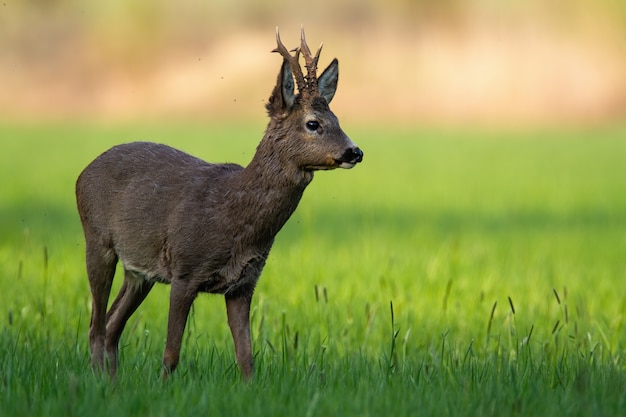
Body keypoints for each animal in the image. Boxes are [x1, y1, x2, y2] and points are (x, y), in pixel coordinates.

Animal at [75, 28, 364, 376]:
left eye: (337, 118)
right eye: (313, 123)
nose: (355, 152)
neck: (234, 215)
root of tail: (82, 173)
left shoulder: (244, 283)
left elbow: (246, 358)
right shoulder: (185, 270)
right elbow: (171, 354)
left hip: (139, 271)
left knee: (112, 324)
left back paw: (113, 382)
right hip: (97, 241)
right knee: (96, 324)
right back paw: (97, 379)